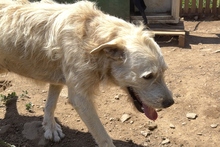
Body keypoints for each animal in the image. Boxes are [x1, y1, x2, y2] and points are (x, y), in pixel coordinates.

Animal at [0, 0, 174, 146]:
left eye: (164, 72)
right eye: (148, 76)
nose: (170, 103)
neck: (90, 39)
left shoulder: (59, 79)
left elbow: (50, 104)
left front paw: (50, 128)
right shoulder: (80, 98)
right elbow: (103, 137)